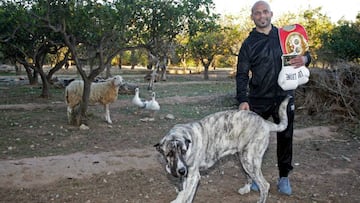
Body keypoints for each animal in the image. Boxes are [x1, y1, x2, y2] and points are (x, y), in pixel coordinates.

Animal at [154, 96, 290, 202]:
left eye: (183, 151)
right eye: (169, 153)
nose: (181, 170)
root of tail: (264, 122)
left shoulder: (193, 176)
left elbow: (187, 196)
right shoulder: (185, 174)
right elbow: (183, 192)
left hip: (249, 160)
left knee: (265, 185)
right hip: (243, 158)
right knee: (250, 176)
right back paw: (246, 189)